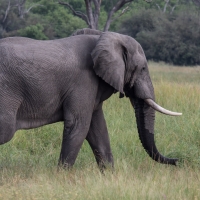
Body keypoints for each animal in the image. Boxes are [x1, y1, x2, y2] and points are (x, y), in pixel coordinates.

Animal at [0, 27, 181, 169]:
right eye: (143, 68)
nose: (178, 160)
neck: (101, 36)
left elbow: (98, 129)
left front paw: (110, 177)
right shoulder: (83, 81)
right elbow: (79, 124)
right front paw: (62, 177)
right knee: (6, 130)